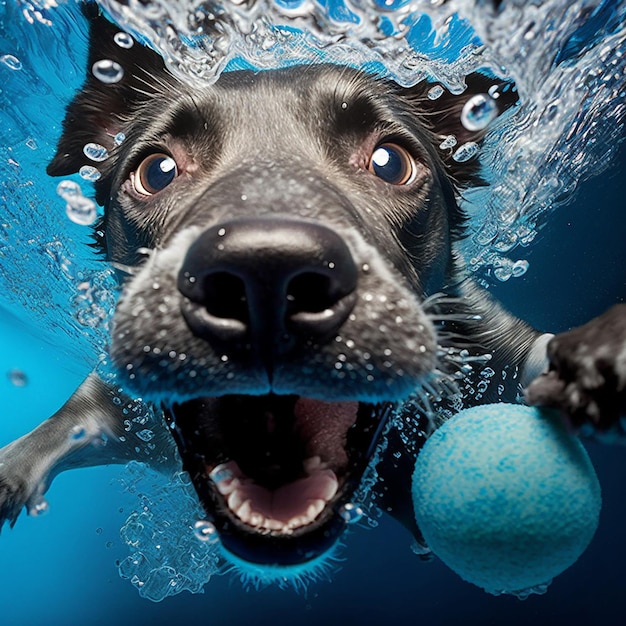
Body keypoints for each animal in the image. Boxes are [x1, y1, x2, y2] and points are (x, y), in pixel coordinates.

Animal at [1, 6, 624, 572]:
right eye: (157, 171)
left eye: (390, 161)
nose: (266, 275)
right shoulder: (131, 412)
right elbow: (63, 424)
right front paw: (11, 470)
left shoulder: (488, 345)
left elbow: (539, 350)